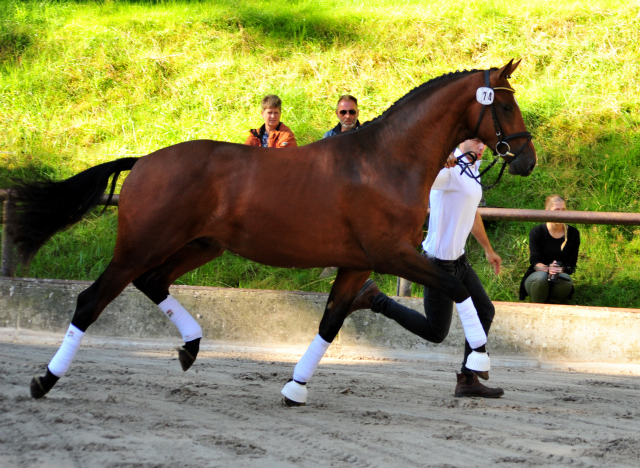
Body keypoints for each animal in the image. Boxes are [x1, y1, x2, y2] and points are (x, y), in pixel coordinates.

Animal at [12, 59, 536, 402]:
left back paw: (191, 346)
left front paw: (295, 387)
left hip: (200, 245)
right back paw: (45, 380)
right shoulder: (394, 253)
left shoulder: (357, 263)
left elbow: (330, 323)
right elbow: (456, 286)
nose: (527, 160)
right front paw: (480, 362)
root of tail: (143, 161)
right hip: (140, 245)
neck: (385, 160)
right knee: (91, 300)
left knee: (152, 282)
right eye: (505, 106)